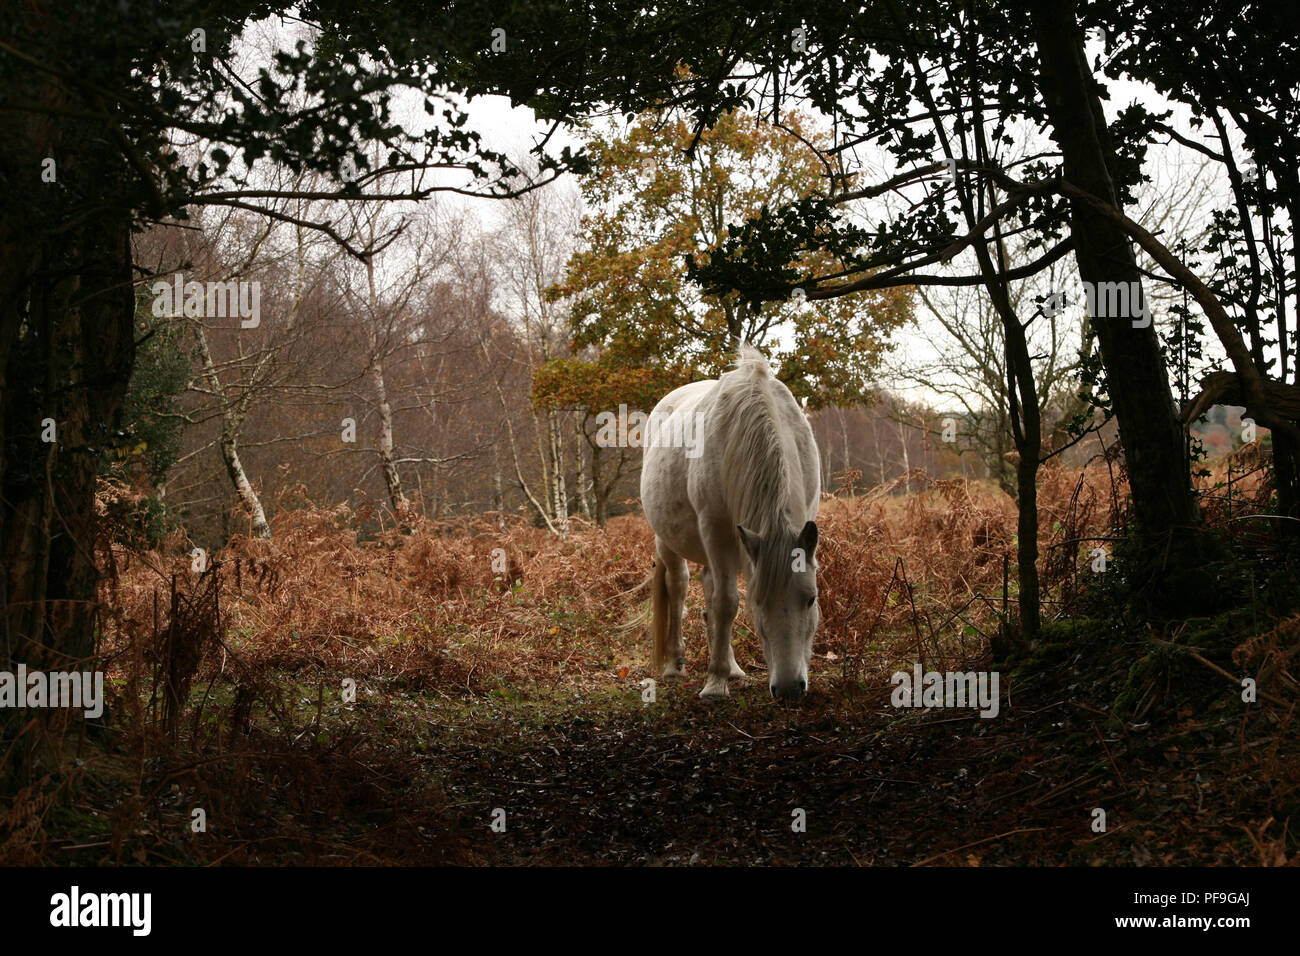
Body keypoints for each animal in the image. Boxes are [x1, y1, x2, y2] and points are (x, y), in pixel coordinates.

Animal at [642, 345, 821, 702]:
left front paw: (725, 672)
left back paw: (734, 668)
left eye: (811, 599)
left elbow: (723, 603)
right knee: (679, 588)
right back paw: (676, 665)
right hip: (668, 542)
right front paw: (715, 684)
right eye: (759, 601)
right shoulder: (717, 530)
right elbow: (727, 603)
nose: (789, 688)